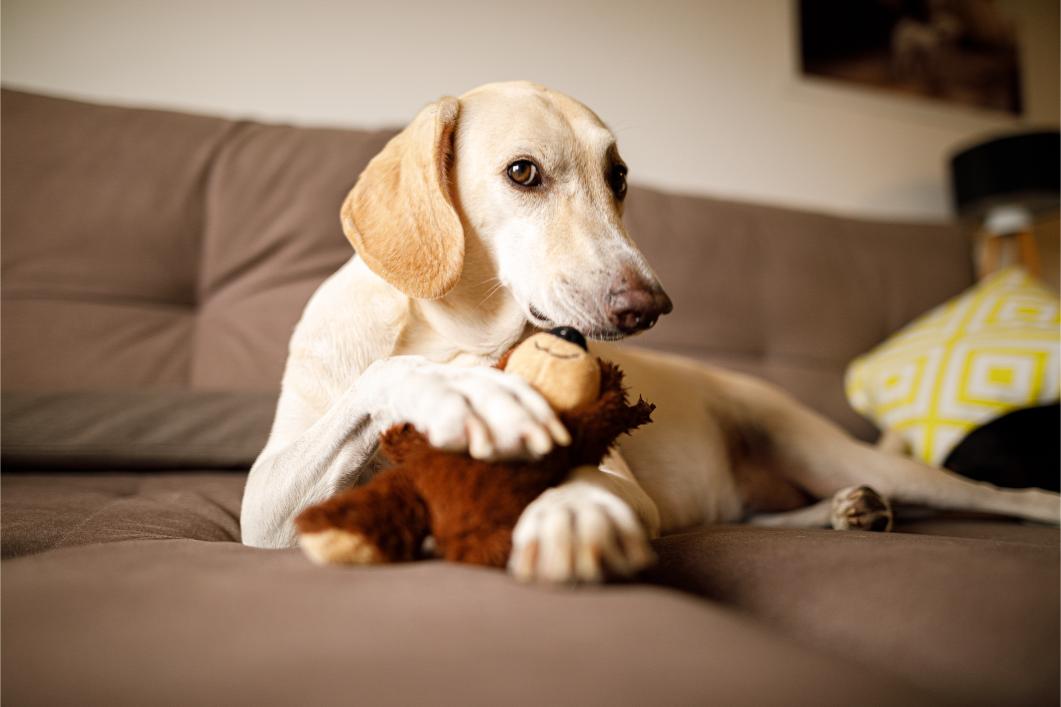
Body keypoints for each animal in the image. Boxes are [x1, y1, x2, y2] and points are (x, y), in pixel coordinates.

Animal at [240, 79, 1061, 581]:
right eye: (523, 172)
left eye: (620, 176)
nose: (651, 305)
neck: (454, 331)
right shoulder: (267, 510)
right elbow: (383, 382)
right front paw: (456, 391)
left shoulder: (623, 483)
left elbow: (586, 483)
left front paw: (570, 511)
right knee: (768, 512)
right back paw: (845, 513)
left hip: (825, 448)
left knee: (987, 492)